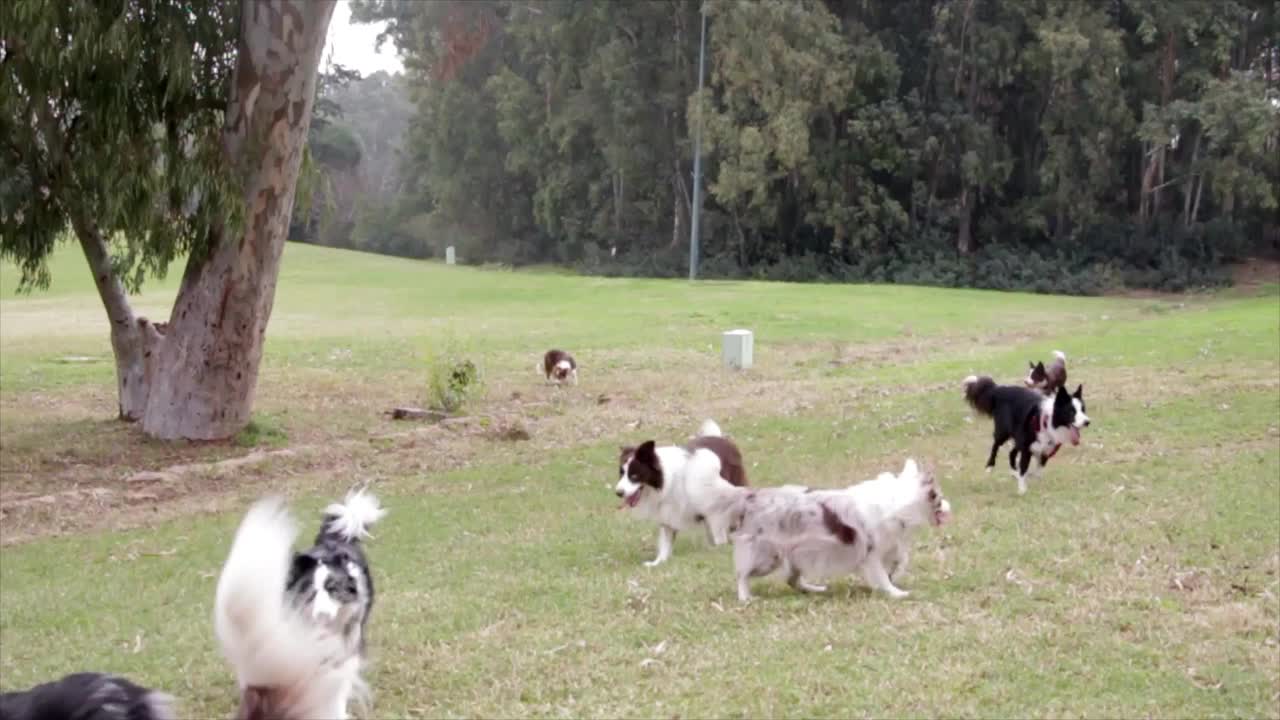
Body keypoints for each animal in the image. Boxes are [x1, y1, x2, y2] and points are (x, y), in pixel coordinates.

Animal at [611, 415, 747, 566]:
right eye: (621, 474)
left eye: (634, 476)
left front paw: (720, 550)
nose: (618, 493)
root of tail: (719, 437)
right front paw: (658, 562)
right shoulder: (667, 511)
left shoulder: (713, 506)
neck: (669, 480)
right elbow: (666, 540)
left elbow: (719, 533)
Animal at [962, 368, 1090, 491]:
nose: (1087, 422)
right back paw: (989, 467)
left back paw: (1014, 472)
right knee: (995, 446)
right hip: (1003, 432)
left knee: (1011, 453)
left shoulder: (1044, 450)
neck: (1047, 421)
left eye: (1083, 410)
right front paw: (1022, 490)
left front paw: (1038, 485)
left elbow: (1039, 470)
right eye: (1071, 412)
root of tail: (1000, 389)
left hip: (1018, 438)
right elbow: (1024, 468)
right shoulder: (1027, 449)